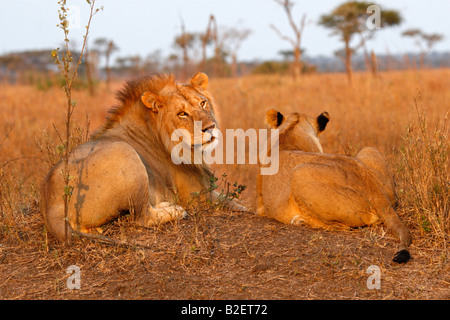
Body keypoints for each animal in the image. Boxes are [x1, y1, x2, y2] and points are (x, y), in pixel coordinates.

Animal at [41, 72, 244, 242]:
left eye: (203, 103)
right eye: (182, 114)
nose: (211, 127)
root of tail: (52, 209)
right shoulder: (198, 195)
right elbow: (234, 203)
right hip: (125, 152)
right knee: (142, 217)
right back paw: (176, 211)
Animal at [256, 109, 412, 262]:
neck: (291, 131)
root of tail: (372, 187)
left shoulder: (261, 206)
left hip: (299, 172)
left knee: (342, 227)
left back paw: (300, 221)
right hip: (369, 150)